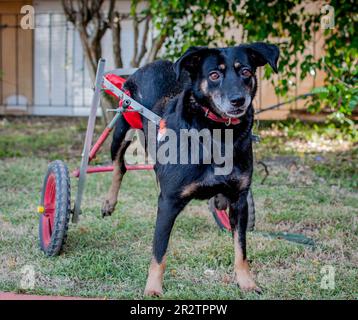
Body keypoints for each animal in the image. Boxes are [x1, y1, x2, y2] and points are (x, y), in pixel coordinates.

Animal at [102, 42, 278, 296]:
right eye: (214, 75)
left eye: (246, 71)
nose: (238, 100)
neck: (218, 134)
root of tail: (153, 63)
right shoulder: (168, 202)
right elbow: (159, 251)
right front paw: (153, 289)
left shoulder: (239, 200)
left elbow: (240, 248)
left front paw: (246, 282)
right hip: (122, 129)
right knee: (119, 165)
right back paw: (109, 202)